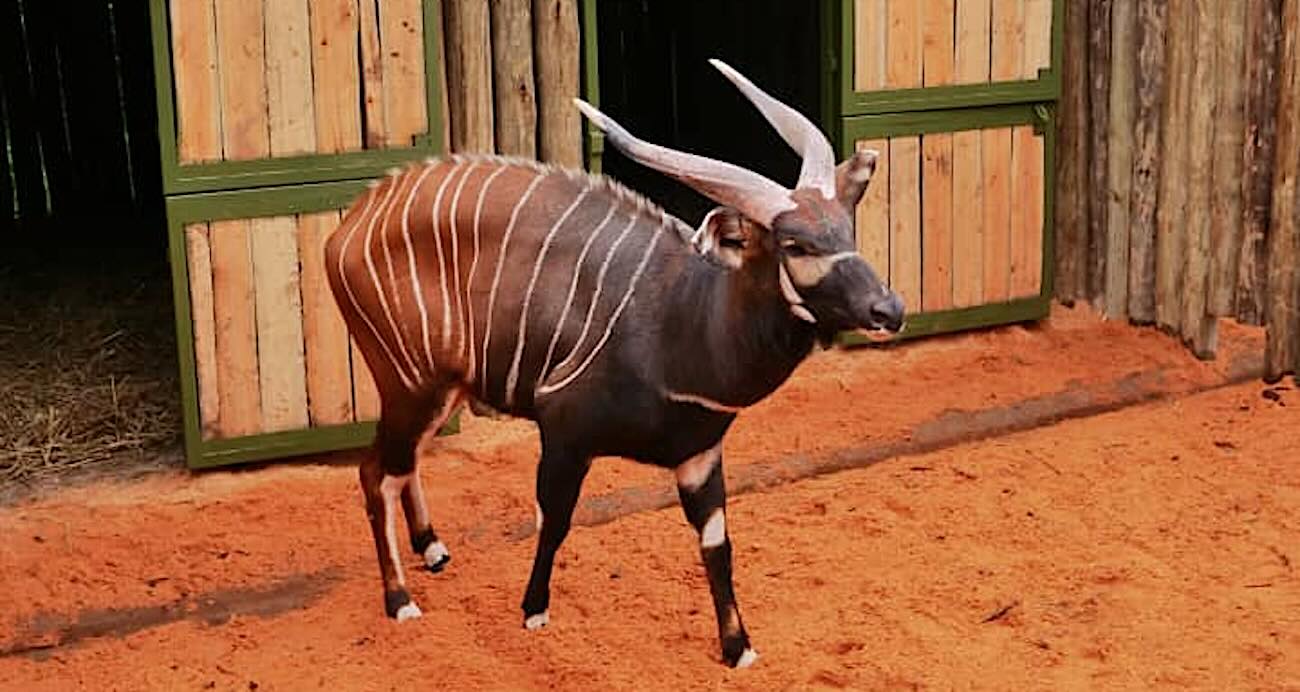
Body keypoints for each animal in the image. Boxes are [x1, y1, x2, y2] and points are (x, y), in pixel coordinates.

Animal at [324, 60, 904, 668]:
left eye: (847, 228)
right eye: (794, 244)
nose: (888, 309)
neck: (683, 324)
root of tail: (348, 226)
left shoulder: (700, 456)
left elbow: (717, 544)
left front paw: (738, 649)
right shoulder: (564, 433)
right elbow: (554, 519)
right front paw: (533, 612)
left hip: (440, 389)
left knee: (402, 463)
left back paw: (433, 549)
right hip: (412, 382)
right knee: (375, 472)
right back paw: (399, 599)